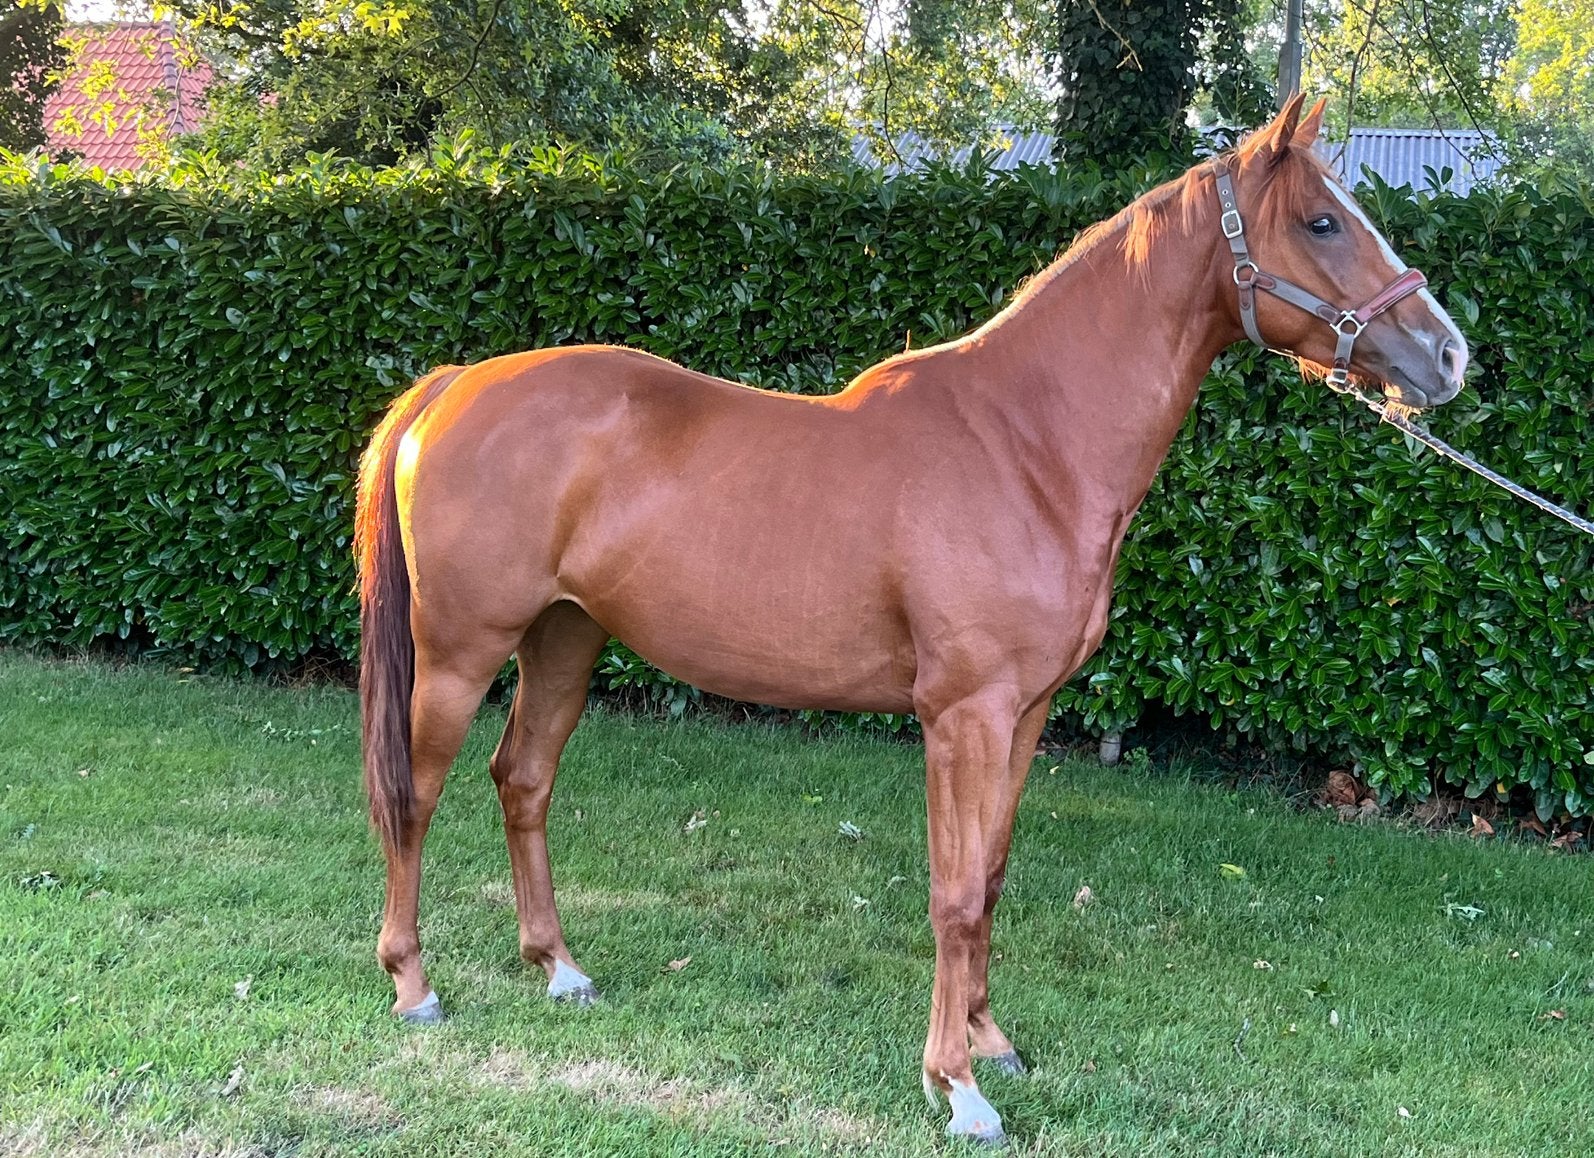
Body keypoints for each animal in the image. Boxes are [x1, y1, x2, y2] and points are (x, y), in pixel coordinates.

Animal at [353, 96, 1467, 1145]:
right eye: (1323, 221)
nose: (1449, 357)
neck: (1027, 445)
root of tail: (455, 386)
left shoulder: (1023, 716)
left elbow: (993, 879)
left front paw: (991, 1040)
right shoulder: (961, 717)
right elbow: (954, 893)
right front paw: (959, 1088)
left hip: (565, 637)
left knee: (523, 780)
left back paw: (559, 968)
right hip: (462, 652)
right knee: (414, 795)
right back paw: (413, 985)